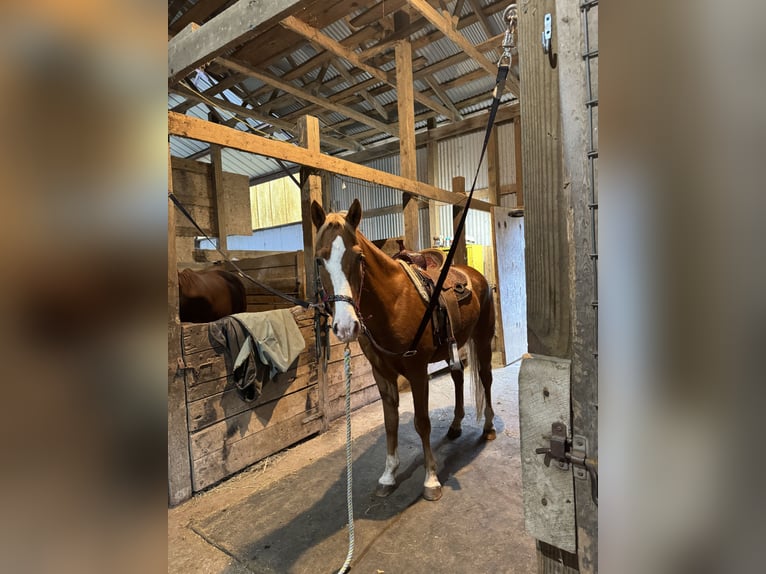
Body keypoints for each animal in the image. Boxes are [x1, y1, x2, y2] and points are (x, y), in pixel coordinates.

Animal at [312, 200, 498, 502]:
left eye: (359, 257)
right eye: (319, 259)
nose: (346, 326)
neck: (393, 302)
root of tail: (475, 276)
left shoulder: (417, 371)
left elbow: (422, 422)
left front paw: (431, 480)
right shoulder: (382, 373)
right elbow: (391, 422)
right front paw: (388, 475)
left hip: (481, 339)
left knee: (486, 378)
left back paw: (489, 428)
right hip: (454, 346)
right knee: (458, 377)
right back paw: (456, 426)